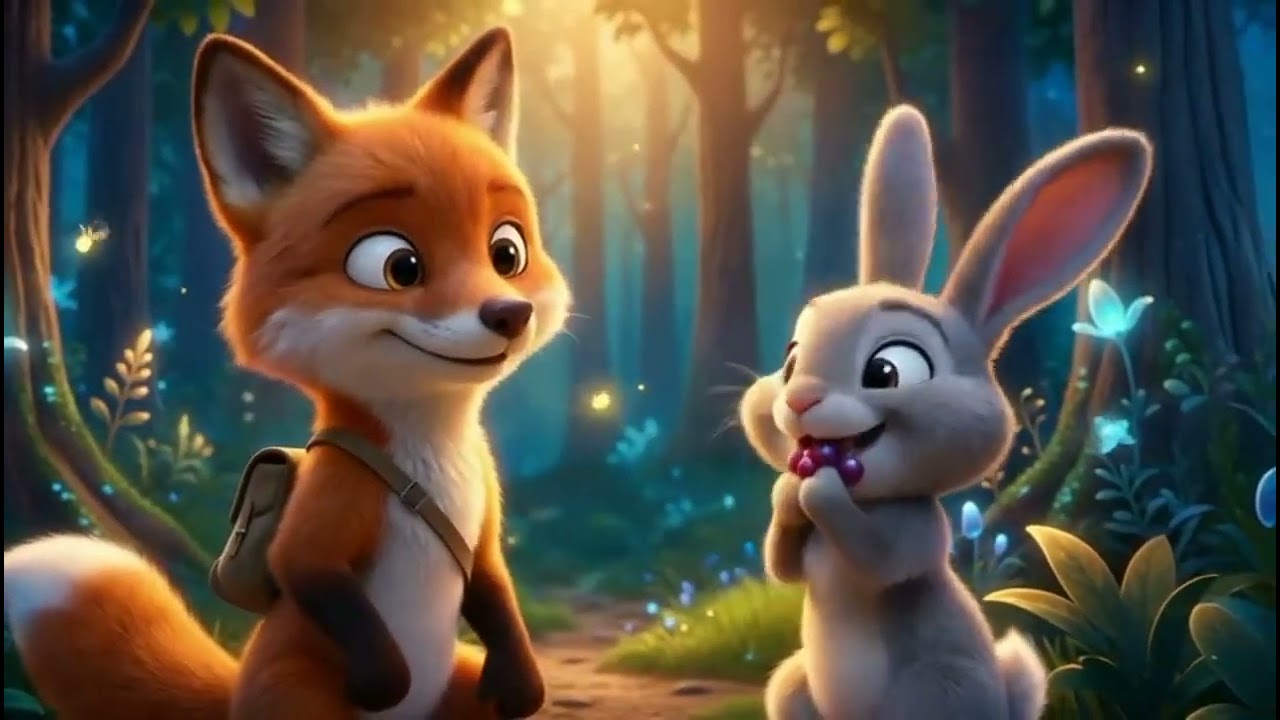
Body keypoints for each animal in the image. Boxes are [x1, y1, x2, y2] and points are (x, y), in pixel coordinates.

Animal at [3, 26, 566, 720]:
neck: (432, 457)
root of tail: (233, 690)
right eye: (398, 266)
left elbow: (494, 590)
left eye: (506, 252)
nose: (509, 314)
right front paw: (382, 680)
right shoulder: (331, 502)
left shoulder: (483, 527)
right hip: (295, 695)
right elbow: (308, 572)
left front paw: (524, 683)